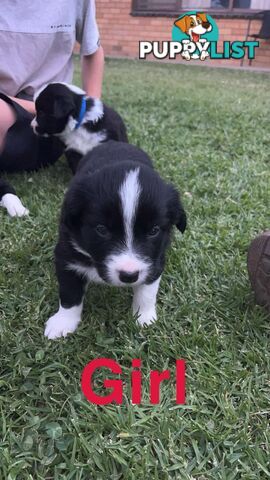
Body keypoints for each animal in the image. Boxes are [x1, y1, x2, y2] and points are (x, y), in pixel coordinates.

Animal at [44, 141, 188, 340]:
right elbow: (69, 292)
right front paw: (62, 322)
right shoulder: (66, 253)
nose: (129, 275)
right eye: (101, 230)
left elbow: (147, 292)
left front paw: (144, 318)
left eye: (154, 231)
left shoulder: (155, 260)